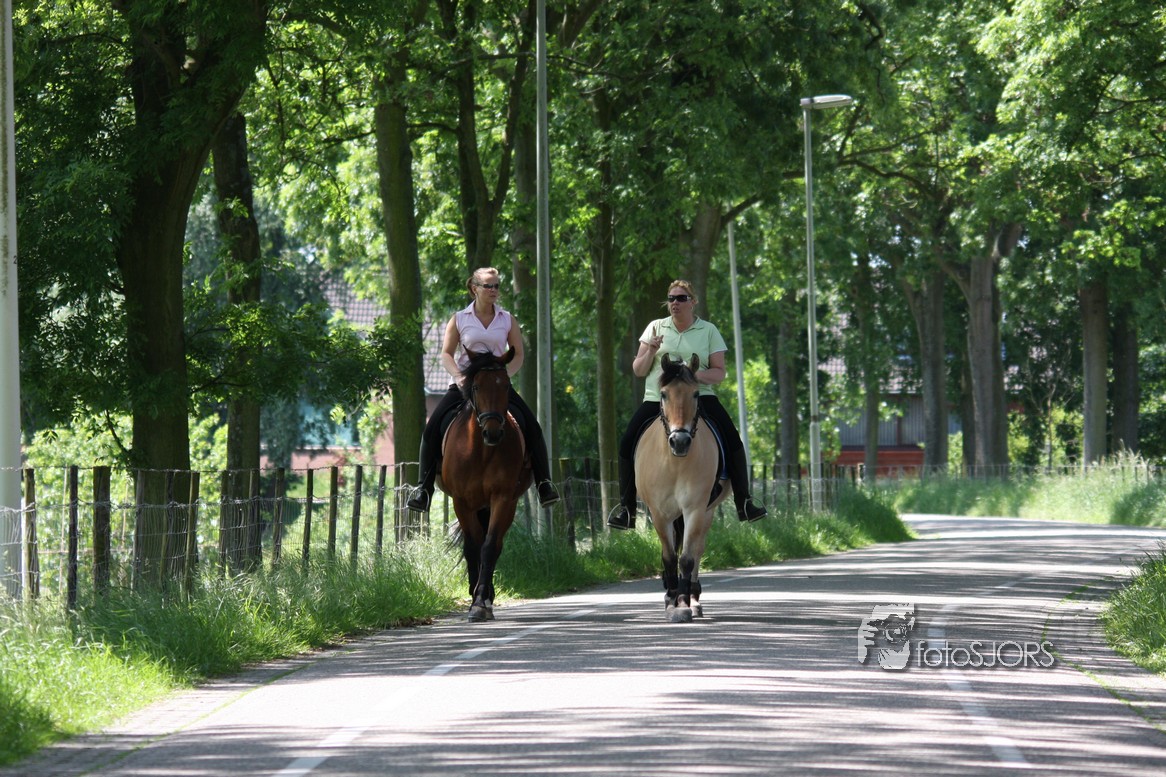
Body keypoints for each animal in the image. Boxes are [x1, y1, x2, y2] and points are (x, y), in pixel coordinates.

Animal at [437, 347, 532, 622]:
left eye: (507, 386)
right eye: (476, 387)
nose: (493, 432)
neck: (481, 451)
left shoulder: (502, 497)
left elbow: (488, 547)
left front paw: (481, 601)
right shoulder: (461, 501)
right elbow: (473, 546)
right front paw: (474, 598)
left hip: (502, 504)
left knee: (496, 543)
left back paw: (487, 595)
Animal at [635, 353, 730, 623]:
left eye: (696, 393)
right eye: (664, 394)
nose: (680, 441)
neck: (675, 462)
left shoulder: (695, 509)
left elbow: (687, 559)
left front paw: (683, 603)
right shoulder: (659, 513)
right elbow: (669, 557)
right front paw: (670, 602)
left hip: (707, 512)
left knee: (697, 550)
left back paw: (694, 599)